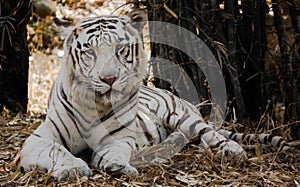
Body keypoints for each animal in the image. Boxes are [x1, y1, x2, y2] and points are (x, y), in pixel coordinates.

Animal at [15, 13, 288, 180]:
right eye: (90, 52)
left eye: (120, 49)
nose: (109, 79)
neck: (94, 106)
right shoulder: (38, 139)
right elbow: (56, 151)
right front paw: (72, 168)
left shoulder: (118, 138)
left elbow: (114, 150)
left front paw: (116, 165)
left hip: (181, 114)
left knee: (208, 133)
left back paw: (232, 150)